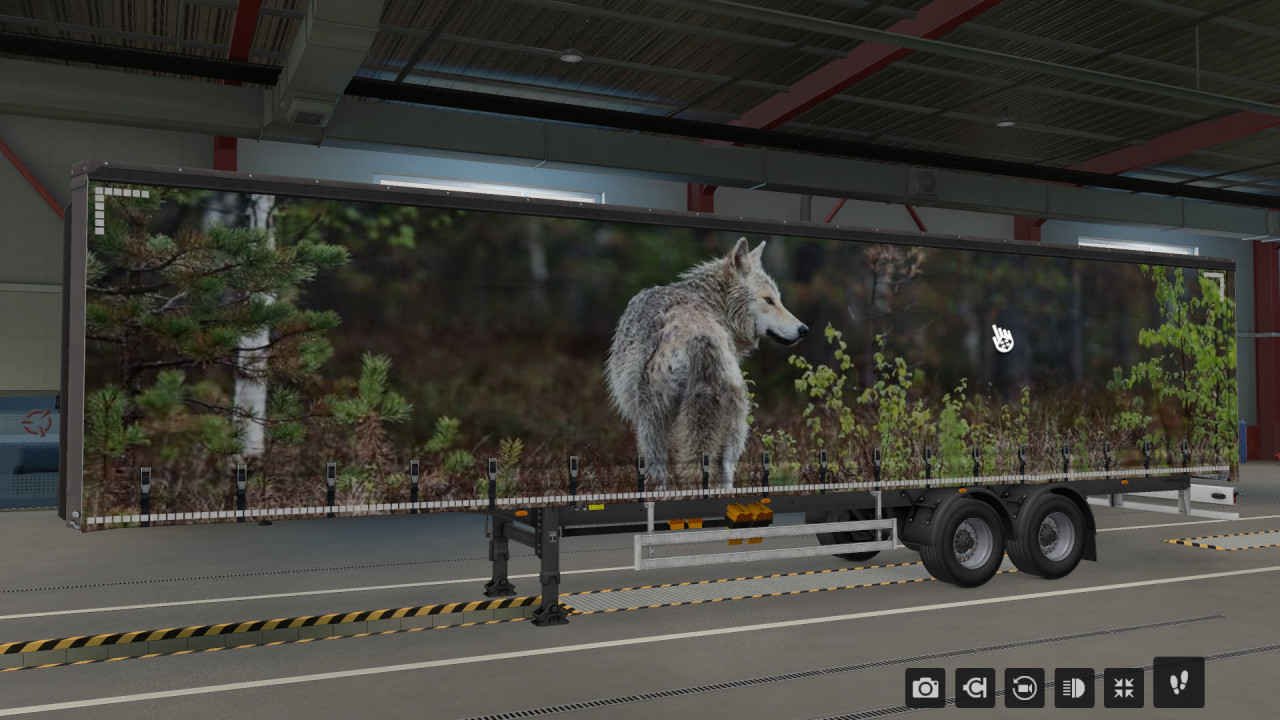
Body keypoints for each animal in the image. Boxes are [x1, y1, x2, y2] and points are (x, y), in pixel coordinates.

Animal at [605, 237, 808, 492]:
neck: (711, 303)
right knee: (724, 473)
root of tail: (701, 339)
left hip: (651, 424)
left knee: (661, 474)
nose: (804, 330)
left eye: (777, 299)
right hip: (735, 428)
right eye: (769, 300)